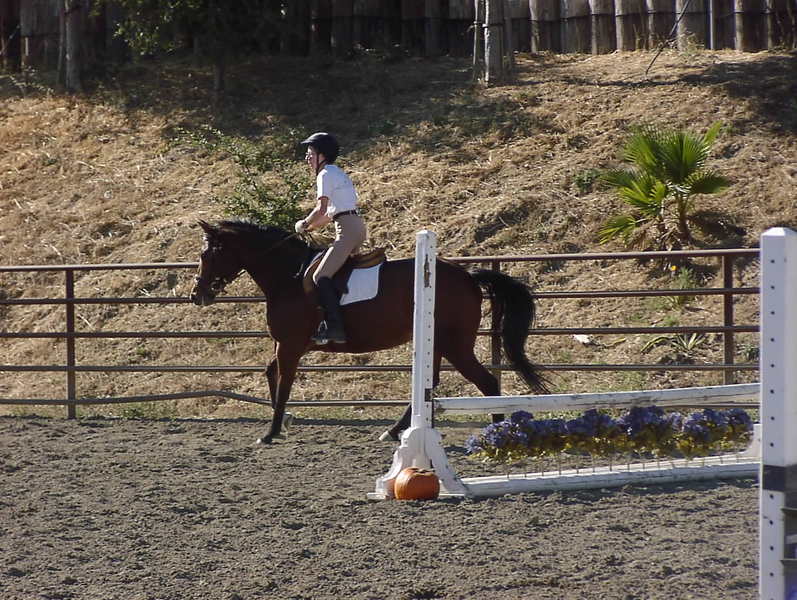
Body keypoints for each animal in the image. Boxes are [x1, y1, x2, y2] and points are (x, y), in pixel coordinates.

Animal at [189, 219, 550, 444]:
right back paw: (394, 431)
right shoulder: (292, 345)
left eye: (207, 254)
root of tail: (468, 277)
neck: (287, 276)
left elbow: (284, 382)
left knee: (487, 382)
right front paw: (285, 422)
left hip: (455, 344)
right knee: (431, 385)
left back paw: (496, 430)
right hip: (437, 343)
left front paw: (272, 431)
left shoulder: (289, 344)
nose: (196, 294)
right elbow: (271, 374)